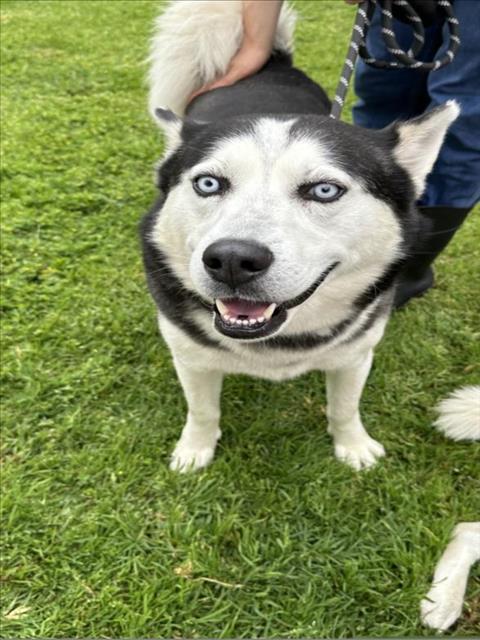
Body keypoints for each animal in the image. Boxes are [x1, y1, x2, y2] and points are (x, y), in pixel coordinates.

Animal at [142, 0, 458, 470]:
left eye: (324, 190)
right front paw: (195, 451)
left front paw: (353, 446)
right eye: (209, 184)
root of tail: (271, 63)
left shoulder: (355, 353)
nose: (232, 260)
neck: (279, 344)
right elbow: (202, 410)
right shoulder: (190, 356)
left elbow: (345, 406)